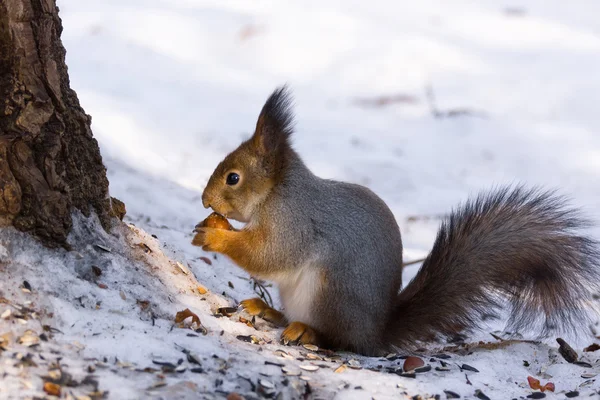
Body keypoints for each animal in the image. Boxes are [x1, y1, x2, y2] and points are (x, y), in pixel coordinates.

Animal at [193, 86, 600, 354]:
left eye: (233, 178)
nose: (204, 200)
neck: (277, 192)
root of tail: (375, 334)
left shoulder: (294, 223)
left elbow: (268, 255)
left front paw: (216, 237)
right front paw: (214, 225)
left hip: (332, 294)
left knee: (342, 342)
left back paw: (309, 334)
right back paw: (268, 310)